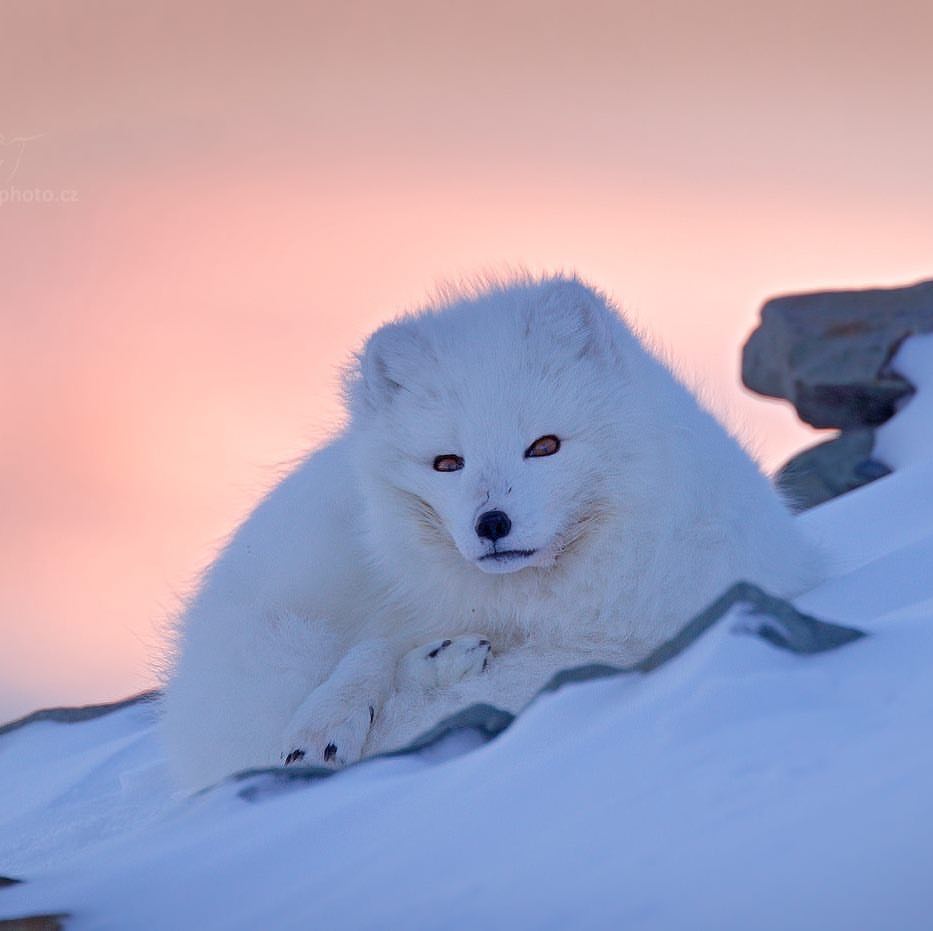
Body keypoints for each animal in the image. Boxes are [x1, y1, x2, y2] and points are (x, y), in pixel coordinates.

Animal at [164, 276, 820, 792]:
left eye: (545, 446)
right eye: (447, 463)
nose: (492, 524)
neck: (525, 604)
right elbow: (367, 653)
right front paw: (325, 722)